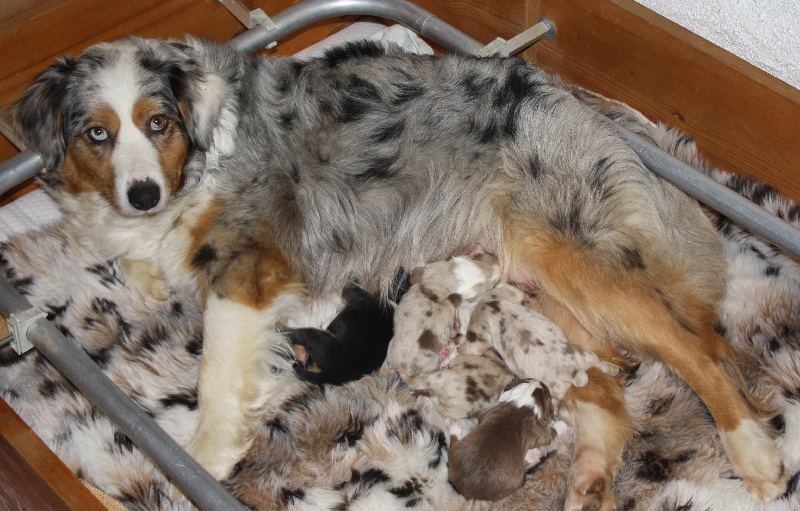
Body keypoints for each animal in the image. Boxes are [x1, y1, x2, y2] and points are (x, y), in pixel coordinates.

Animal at [14, 36, 788, 508]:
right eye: (96, 133)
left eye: (159, 123)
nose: (143, 192)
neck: (201, 154)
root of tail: (577, 107)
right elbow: (135, 261)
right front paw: (144, 263)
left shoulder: (250, 263)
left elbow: (215, 375)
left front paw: (202, 457)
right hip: (546, 297)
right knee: (605, 390)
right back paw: (590, 479)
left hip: (571, 257)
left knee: (700, 351)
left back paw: (756, 454)